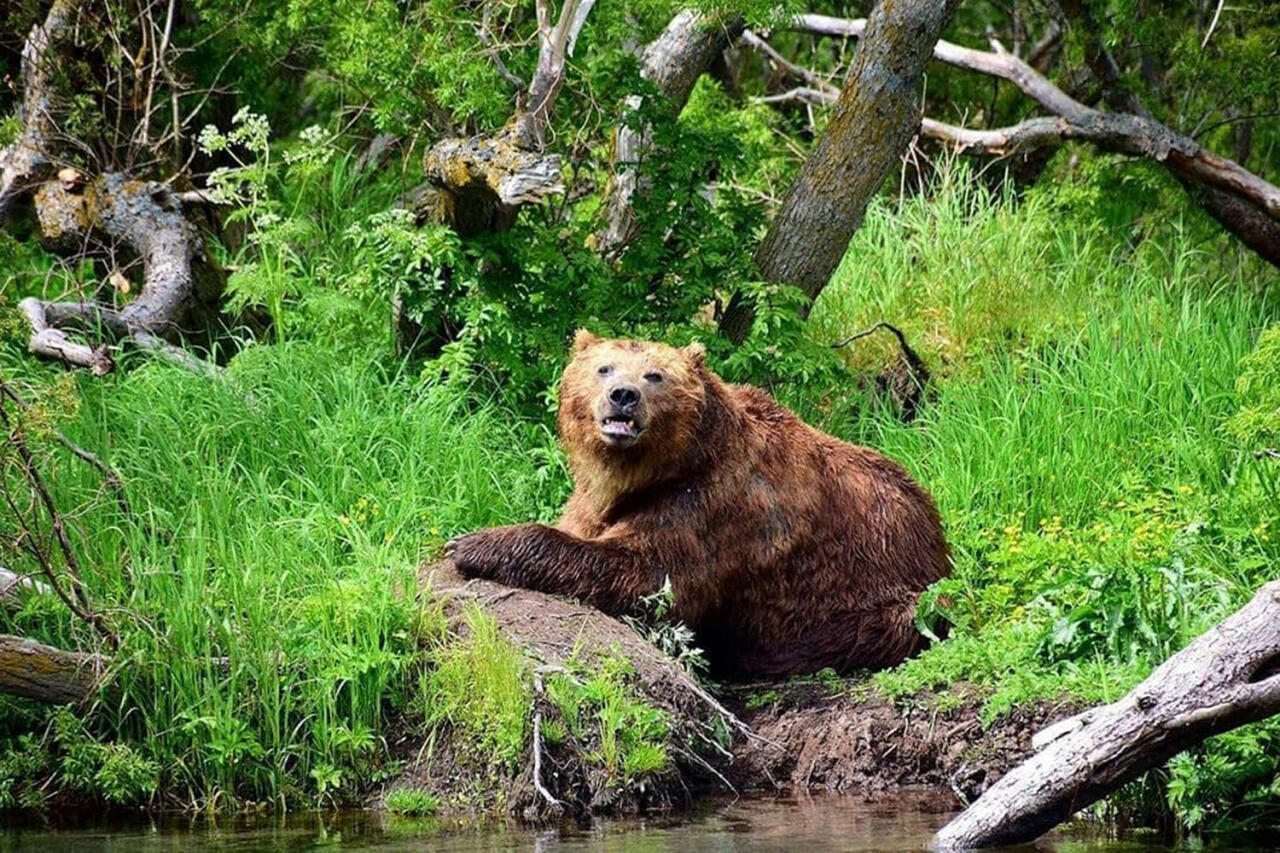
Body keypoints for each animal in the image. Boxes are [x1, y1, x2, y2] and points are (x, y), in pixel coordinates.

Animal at [450, 327, 952, 676]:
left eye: (654, 375)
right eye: (604, 368)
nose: (623, 396)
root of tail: (935, 529)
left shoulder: (712, 506)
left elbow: (648, 574)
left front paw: (474, 543)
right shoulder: (595, 502)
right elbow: (585, 530)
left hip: (887, 587)